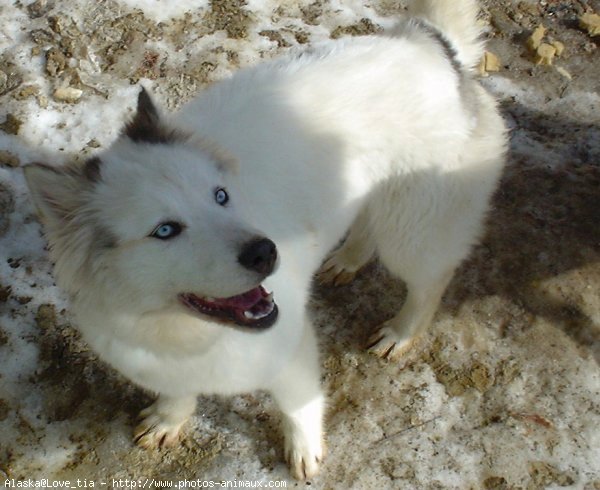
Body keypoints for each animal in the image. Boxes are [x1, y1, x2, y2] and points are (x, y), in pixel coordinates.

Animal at [24, 0, 506, 480]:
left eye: (221, 195)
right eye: (165, 230)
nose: (266, 251)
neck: (182, 334)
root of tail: (428, 44)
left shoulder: (293, 350)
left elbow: (299, 407)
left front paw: (305, 450)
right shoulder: (159, 364)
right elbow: (178, 394)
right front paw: (168, 419)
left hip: (412, 232)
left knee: (430, 282)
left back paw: (402, 332)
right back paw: (347, 259)